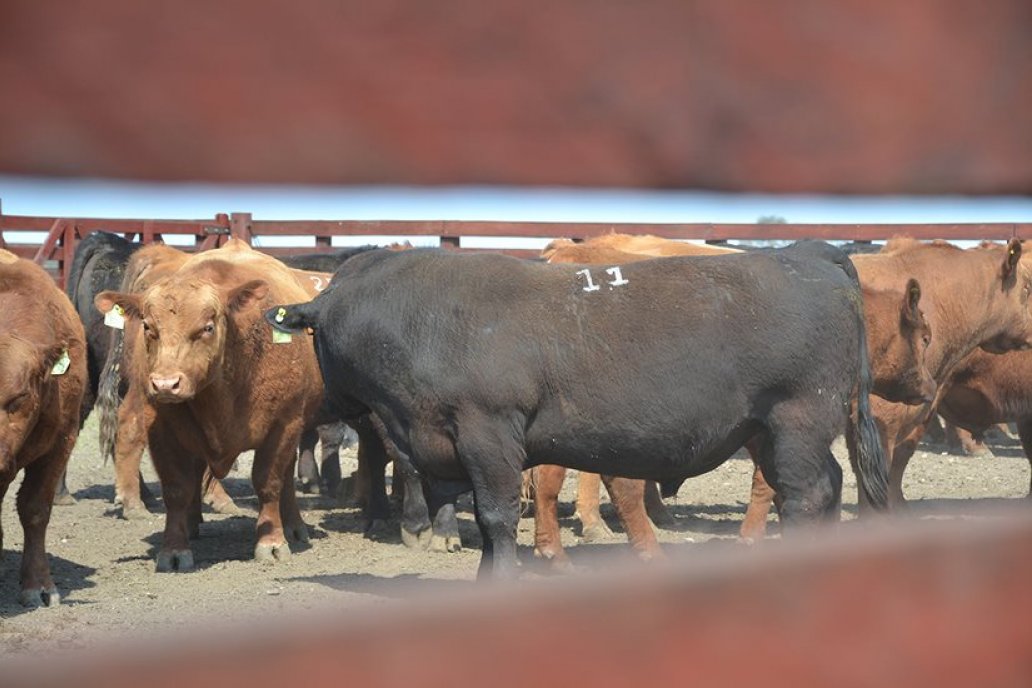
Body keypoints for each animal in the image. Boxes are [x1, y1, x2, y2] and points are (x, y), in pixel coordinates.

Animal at [97, 239, 321, 569]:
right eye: (149, 327)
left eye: (207, 327)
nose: (166, 384)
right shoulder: (162, 430)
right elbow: (177, 488)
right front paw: (174, 549)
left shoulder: (284, 423)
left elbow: (269, 481)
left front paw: (271, 542)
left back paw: (293, 526)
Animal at [266, 242, 887, 577]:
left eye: (314, 335)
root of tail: (807, 255)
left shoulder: (488, 434)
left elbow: (495, 517)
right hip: (768, 429)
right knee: (826, 484)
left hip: (798, 419)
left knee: (805, 494)